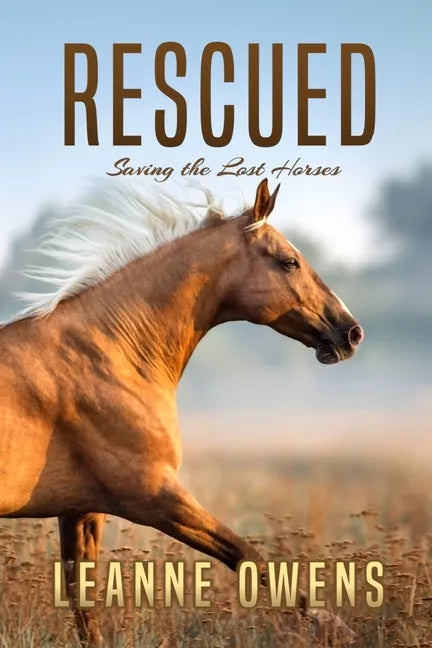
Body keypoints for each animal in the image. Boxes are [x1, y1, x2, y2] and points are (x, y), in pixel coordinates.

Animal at [0, 179, 363, 645]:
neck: (111, 352)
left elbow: (84, 608)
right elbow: (249, 555)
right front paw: (332, 625)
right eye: (289, 262)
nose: (350, 332)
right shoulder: (153, 494)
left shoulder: (81, 510)